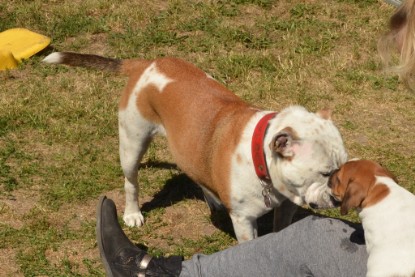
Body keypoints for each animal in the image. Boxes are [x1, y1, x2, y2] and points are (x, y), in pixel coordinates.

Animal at [43, 51, 348, 242]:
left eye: (343, 168)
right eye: (325, 173)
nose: (340, 198)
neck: (260, 158)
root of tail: (146, 64)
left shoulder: (286, 207)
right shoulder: (244, 221)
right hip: (131, 143)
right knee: (131, 182)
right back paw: (132, 213)